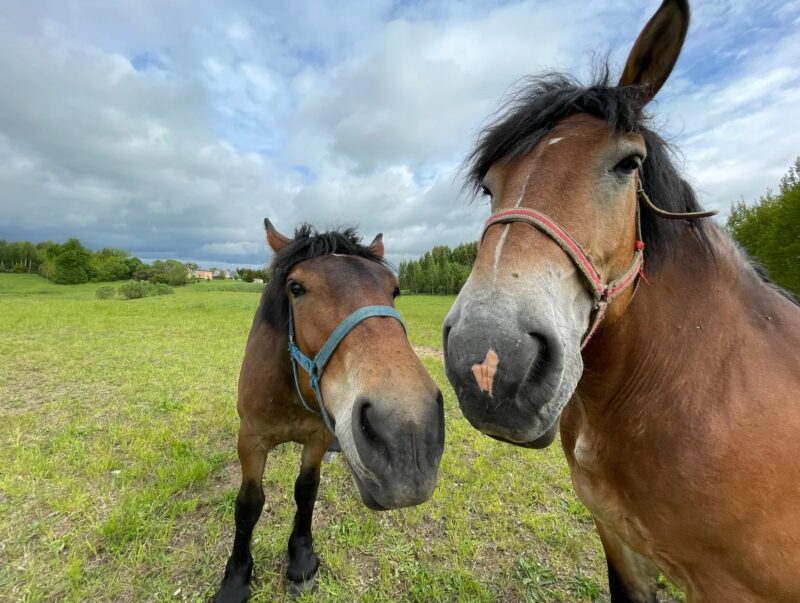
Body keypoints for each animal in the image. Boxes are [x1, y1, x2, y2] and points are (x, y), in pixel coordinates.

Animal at [214, 222, 444, 603]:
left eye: (394, 290)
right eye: (296, 287)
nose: (409, 436)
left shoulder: (317, 436)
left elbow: (307, 491)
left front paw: (302, 559)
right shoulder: (251, 439)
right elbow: (248, 504)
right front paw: (235, 579)